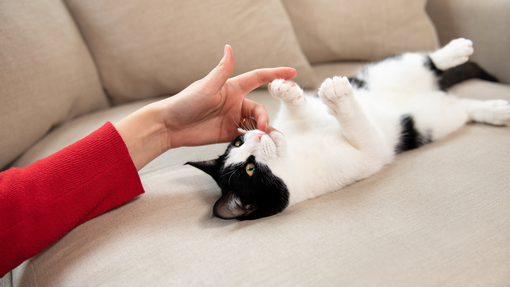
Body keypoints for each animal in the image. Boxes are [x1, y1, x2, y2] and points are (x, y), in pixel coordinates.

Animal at [188, 38, 510, 220]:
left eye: (237, 143)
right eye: (250, 169)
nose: (256, 134)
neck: (297, 150)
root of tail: (433, 91)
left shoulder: (298, 121)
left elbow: (301, 109)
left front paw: (285, 89)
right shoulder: (368, 153)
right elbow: (359, 127)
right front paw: (339, 97)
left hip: (387, 72)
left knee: (425, 62)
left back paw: (456, 50)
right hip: (432, 120)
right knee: (463, 106)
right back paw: (497, 109)